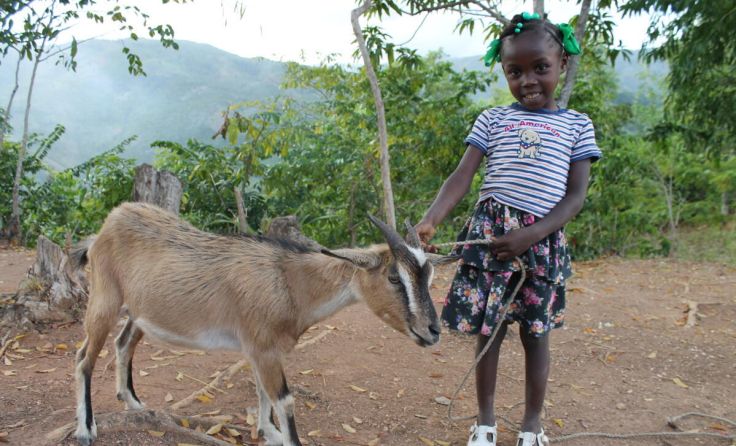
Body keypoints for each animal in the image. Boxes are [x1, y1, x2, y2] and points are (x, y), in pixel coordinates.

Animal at [71, 202, 448, 446]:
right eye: (394, 277)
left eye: (428, 274)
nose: (433, 331)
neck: (289, 282)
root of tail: (108, 223)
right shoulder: (263, 348)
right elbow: (284, 400)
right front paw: (279, 434)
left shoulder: (260, 349)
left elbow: (264, 394)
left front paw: (268, 432)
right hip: (104, 298)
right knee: (84, 357)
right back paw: (86, 429)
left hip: (139, 312)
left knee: (122, 343)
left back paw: (134, 403)